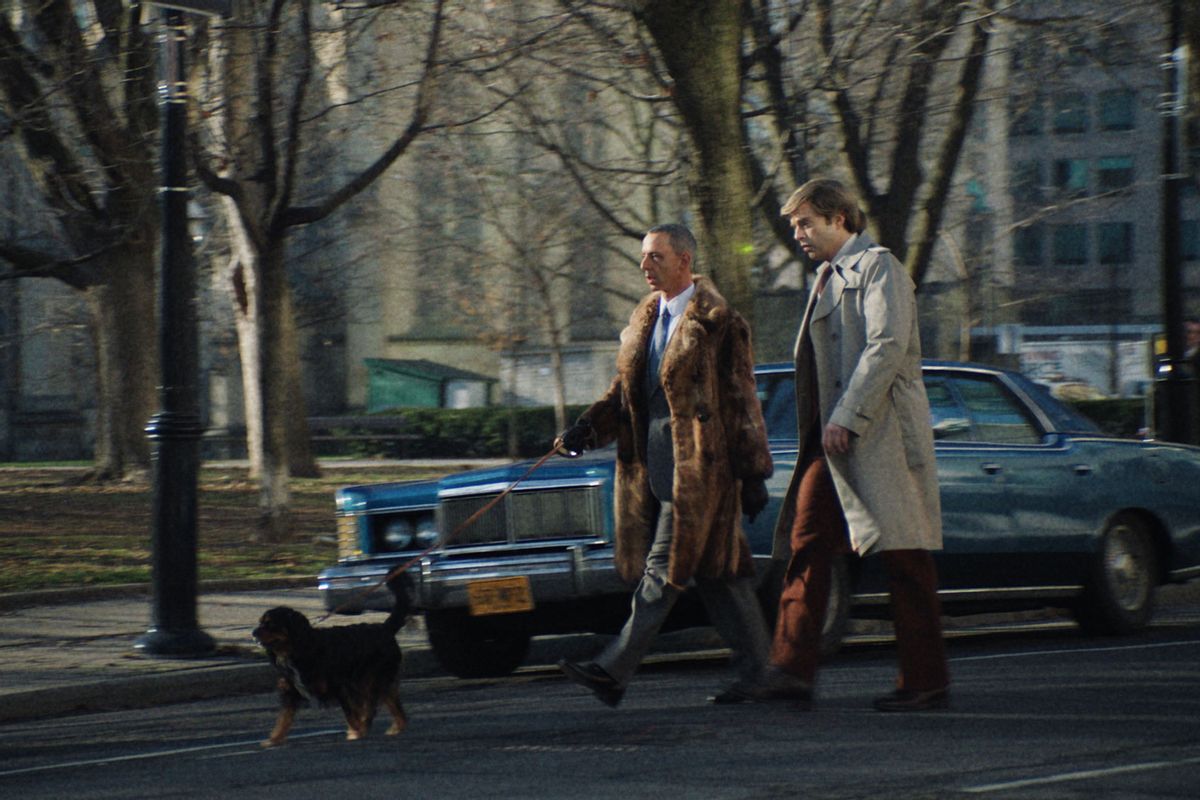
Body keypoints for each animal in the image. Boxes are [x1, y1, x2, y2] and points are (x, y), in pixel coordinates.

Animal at [253, 573, 412, 748]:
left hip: (370, 680)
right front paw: (274, 739)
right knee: (395, 707)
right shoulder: (291, 692)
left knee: (370, 707)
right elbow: (283, 719)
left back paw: (366, 727)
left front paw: (356, 732)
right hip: (379, 682)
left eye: (271, 623)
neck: (297, 648)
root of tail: (385, 628)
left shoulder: (341, 687)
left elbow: (351, 715)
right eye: (260, 622)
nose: (253, 633)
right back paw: (396, 728)